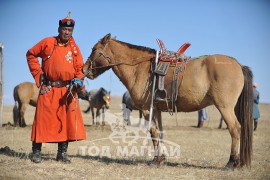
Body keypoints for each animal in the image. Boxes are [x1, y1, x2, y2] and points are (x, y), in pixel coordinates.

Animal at [83, 33, 254, 170]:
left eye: (94, 49)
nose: (84, 70)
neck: (140, 68)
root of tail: (239, 65)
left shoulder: (147, 110)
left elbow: (153, 132)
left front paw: (156, 160)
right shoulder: (157, 110)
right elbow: (160, 132)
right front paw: (162, 158)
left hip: (225, 107)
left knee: (235, 129)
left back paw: (231, 163)